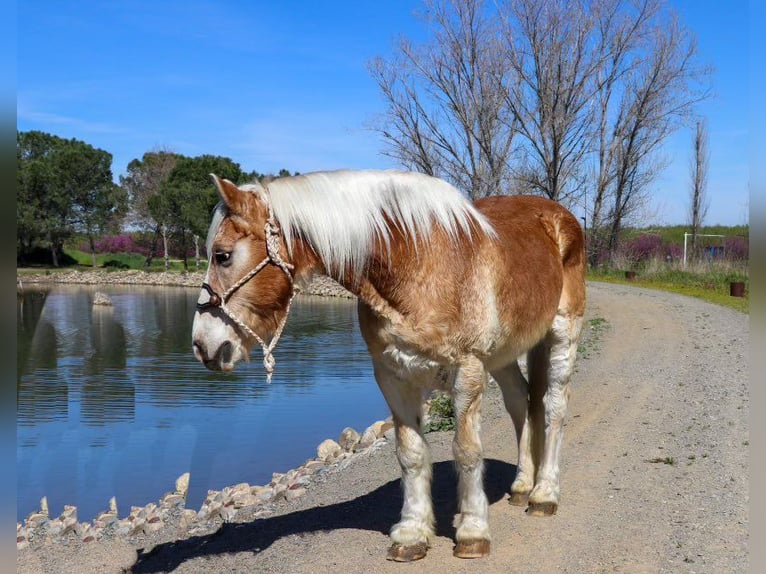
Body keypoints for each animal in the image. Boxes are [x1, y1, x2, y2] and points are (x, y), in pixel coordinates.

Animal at [192, 170, 588, 564]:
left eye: (222, 255)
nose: (201, 345)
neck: (419, 265)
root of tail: (558, 216)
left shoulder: (468, 372)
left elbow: (467, 451)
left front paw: (473, 531)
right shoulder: (393, 377)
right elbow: (411, 455)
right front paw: (412, 533)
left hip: (562, 334)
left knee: (553, 408)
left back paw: (544, 494)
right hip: (504, 356)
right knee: (521, 403)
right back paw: (522, 486)